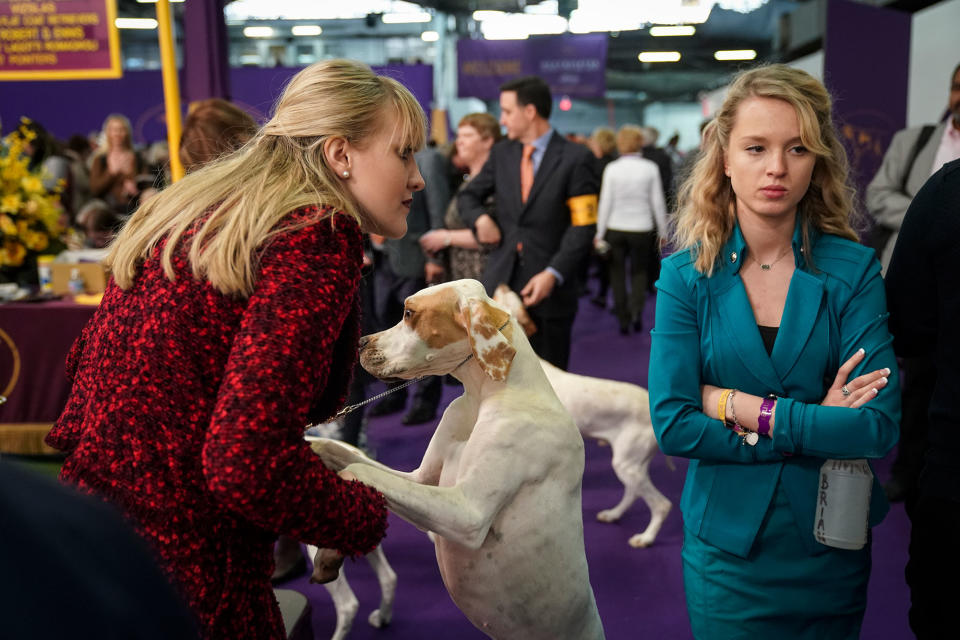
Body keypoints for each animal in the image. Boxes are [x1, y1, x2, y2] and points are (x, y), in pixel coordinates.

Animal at [312, 280, 604, 640]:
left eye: (408, 313)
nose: (361, 343)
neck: (485, 395)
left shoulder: (466, 513)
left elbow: (357, 469)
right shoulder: (420, 480)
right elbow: (346, 454)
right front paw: (310, 444)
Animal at [492, 286, 672, 552]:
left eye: (500, 298)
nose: (503, 285)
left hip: (627, 463)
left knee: (661, 504)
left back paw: (645, 538)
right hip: (633, 464)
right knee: (632, 492)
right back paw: (613, 514)